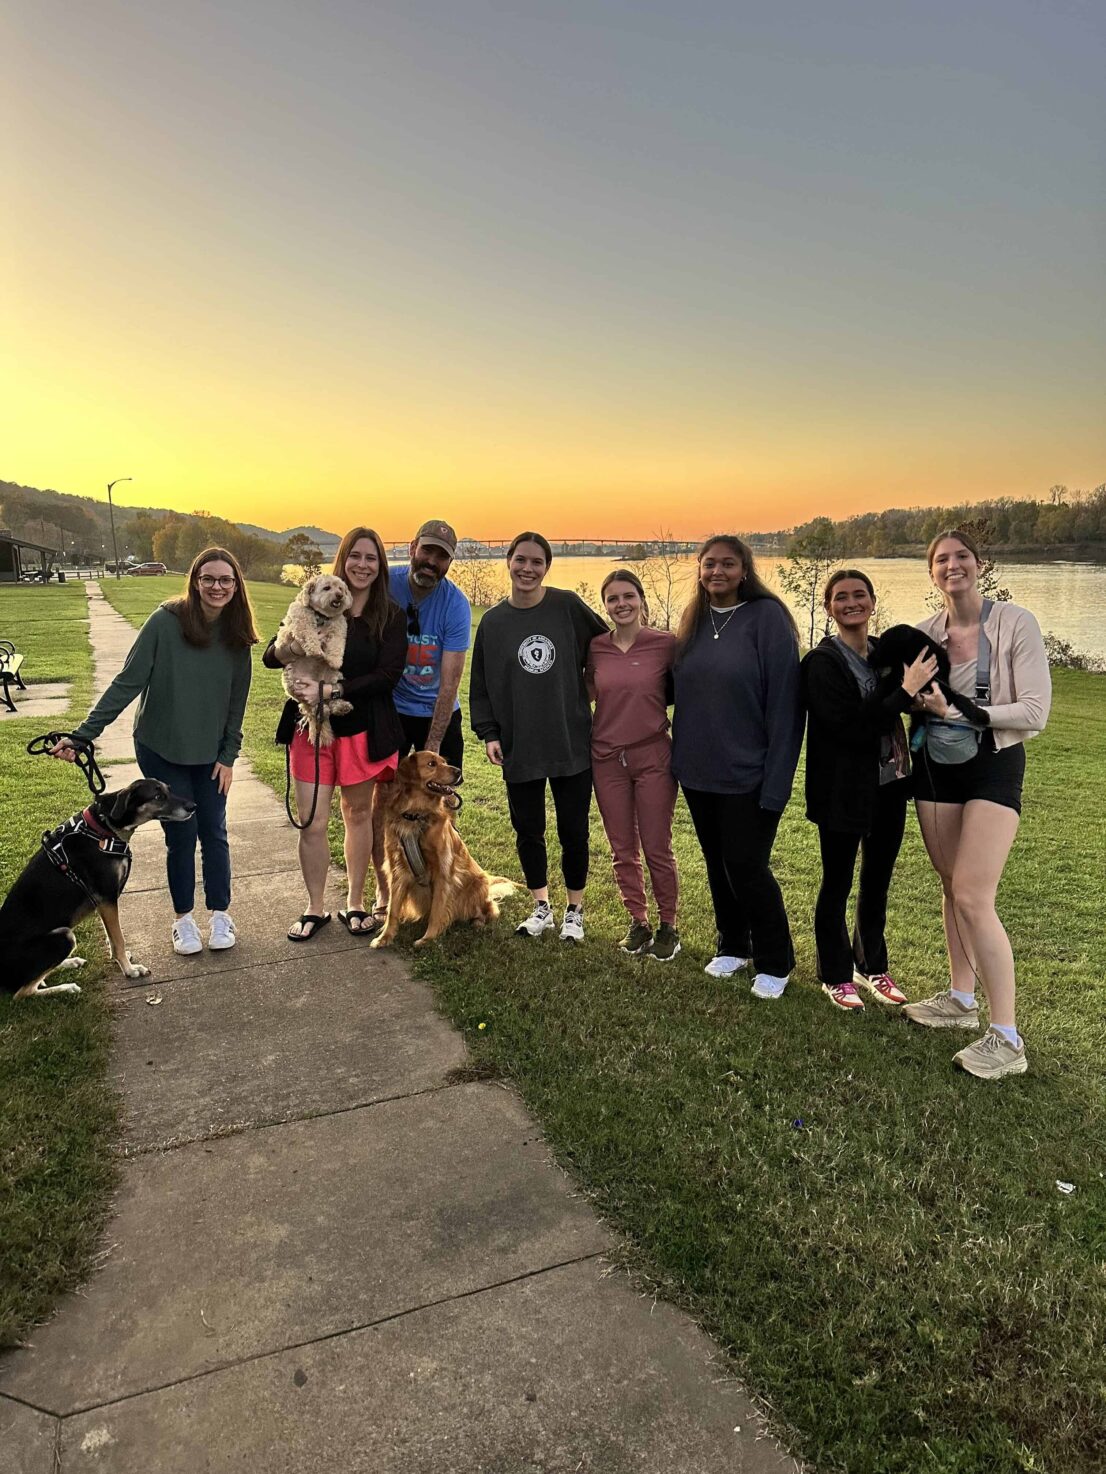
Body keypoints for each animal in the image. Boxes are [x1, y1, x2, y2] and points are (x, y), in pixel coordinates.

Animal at [1, 772, 196, 1002]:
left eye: (168, 789)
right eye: (157, 796)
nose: (193, 806)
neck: (106, 827)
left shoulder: (104, 902)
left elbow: (112, 937)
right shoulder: (107, 897)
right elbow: (118, 939)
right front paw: (130, 970)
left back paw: (69, 962)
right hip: (62, 937)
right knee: (23, 992)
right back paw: (66, 987)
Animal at [275, 568, 355, 742]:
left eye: (341, 588)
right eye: (327, 588)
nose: (340, 595)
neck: (322, 616)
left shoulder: (339, 627)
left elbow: (337, 644)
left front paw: (334, 660)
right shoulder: (300, 619)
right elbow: (308, 632)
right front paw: (314, 649)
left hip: (333, 677)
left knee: (330, 698)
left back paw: (341, 707)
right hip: (294, 685)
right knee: (309, 706)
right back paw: (320, 711)